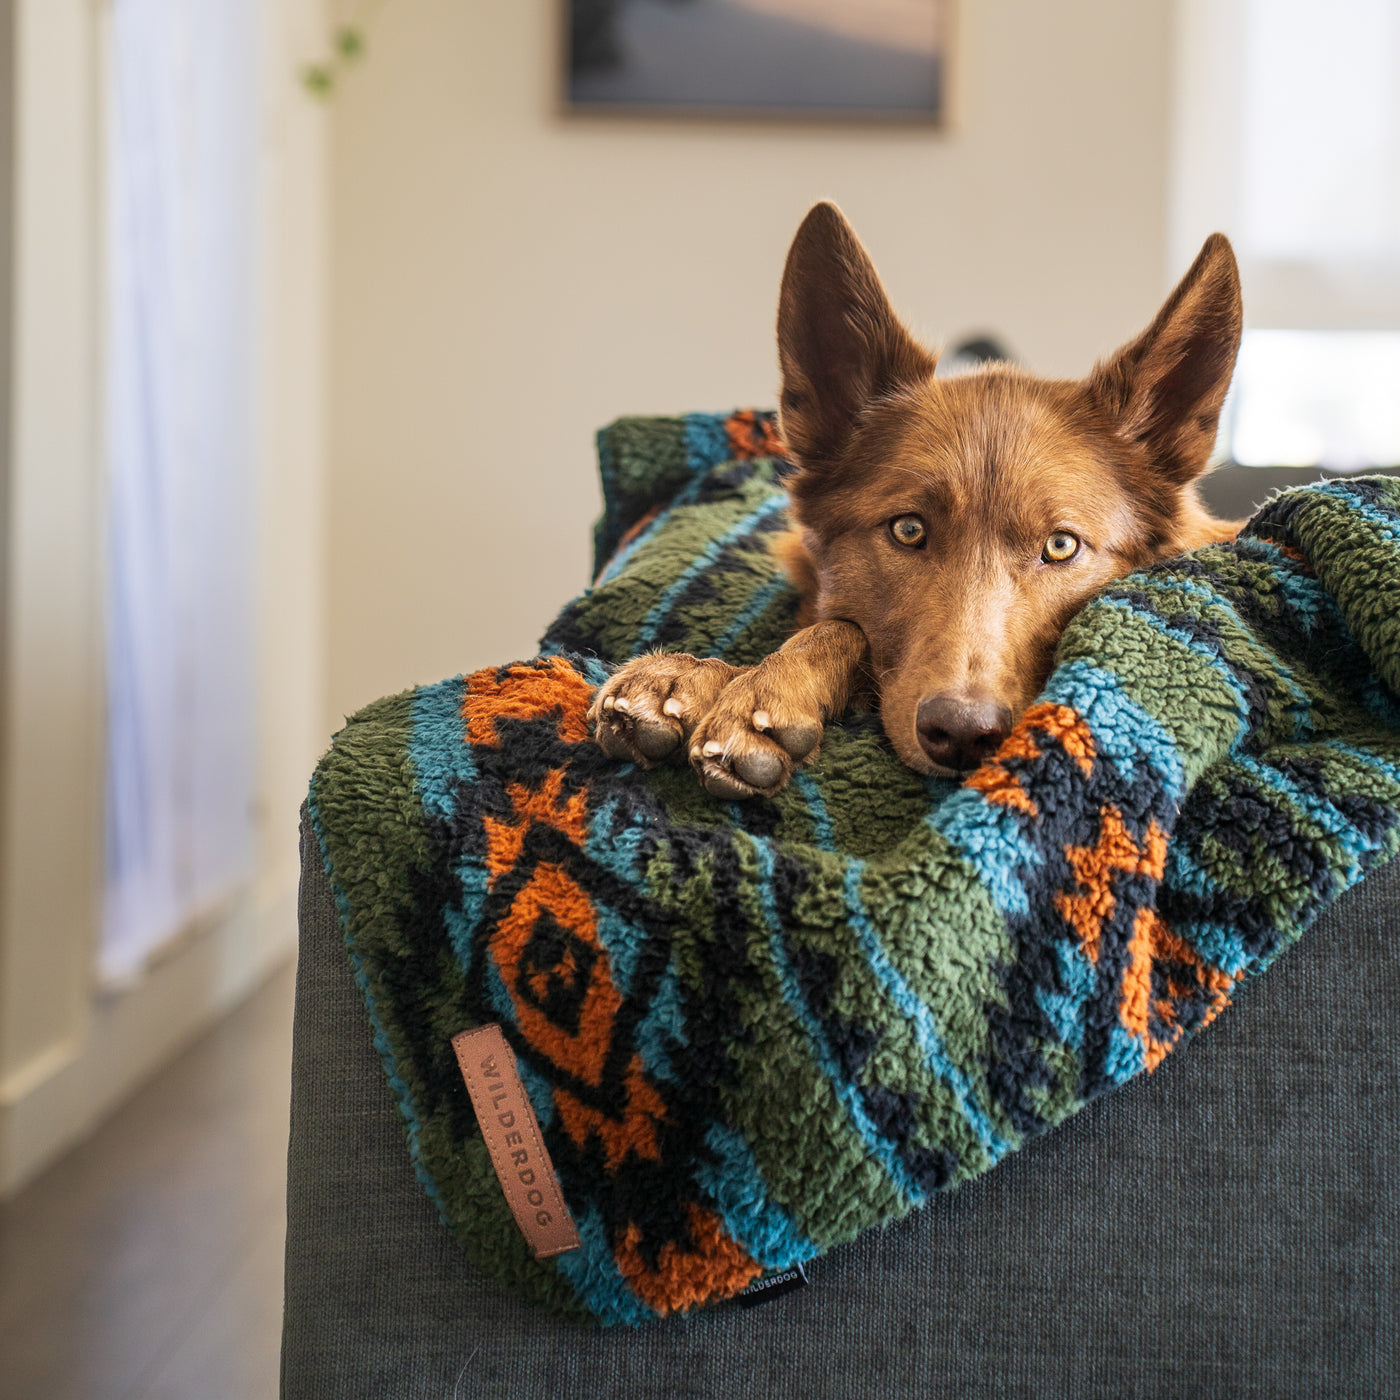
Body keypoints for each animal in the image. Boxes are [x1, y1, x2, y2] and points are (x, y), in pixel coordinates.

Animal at [585, 204, 1243, 800]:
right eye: (907, 530)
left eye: (1061, 546)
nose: (963, 733)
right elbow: (840, 623)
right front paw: (691, 675)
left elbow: (838, 628)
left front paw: (764, 690)